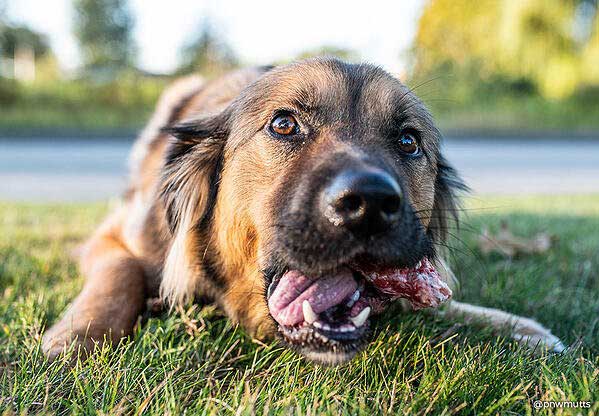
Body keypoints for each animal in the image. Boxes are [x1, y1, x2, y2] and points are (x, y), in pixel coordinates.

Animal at [41, 58, 564, 364]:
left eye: (408, 141)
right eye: (284, 124)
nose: (370, 204)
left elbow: (439, 303)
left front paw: (514, 327)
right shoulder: (116, 235)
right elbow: (120, 274)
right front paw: (77, 337)